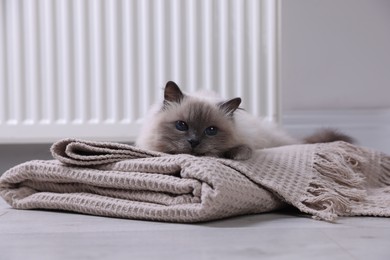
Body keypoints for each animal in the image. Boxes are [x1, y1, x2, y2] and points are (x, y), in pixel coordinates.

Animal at [135, 81, 354, 159]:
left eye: (211, 130)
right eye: (181, 126)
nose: (194, 142)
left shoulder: (248, 142)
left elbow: (242, 149)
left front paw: (233, 156)